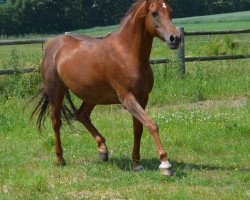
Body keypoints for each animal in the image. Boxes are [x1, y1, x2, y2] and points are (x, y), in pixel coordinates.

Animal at [31, 0, 181, 176]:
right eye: (154, 13)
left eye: (170, 11)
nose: (175, 38)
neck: (127, 53)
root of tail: (51, 43)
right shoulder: (127, 99)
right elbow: (151, 125)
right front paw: (165, 164)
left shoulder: (143, 98)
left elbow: (138, 128)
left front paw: (136, 163)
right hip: (56, 90)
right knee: (56, 121)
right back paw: (60, 159)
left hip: (92, 95)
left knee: (81, 115)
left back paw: (102, 150)